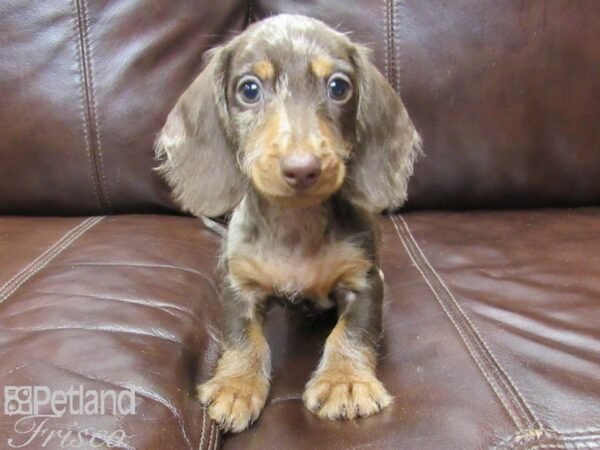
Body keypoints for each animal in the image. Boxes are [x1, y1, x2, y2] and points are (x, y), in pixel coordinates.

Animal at [157, 14, 420, 432]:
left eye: (338, 86)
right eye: (249, 89)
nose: (302, 168)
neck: (296, 225)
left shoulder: (365, 281)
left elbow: (351, 332)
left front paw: (345, 381)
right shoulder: (239, 286)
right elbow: (244, 337)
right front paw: (236, 384)